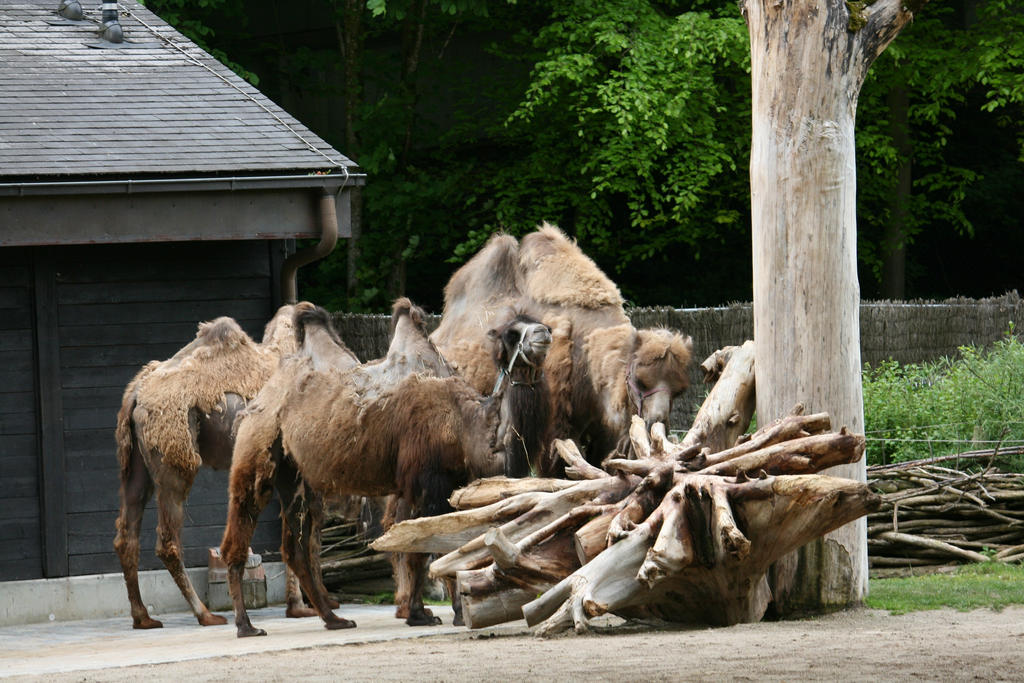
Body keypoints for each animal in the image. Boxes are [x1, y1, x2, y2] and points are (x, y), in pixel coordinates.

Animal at [111, 301, 358, 634]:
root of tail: (136, 392)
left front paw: (303, 606)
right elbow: (310, 532)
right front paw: (310, 606)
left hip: (135, 462)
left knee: (127, 532)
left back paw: (143, 617)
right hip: (176, 457)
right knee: (168, 538)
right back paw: (205, 614)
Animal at [219, 305, 548, 634]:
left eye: (539, 323)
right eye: (511, 334)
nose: (544, 334)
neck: (465, 424)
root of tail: (261, 397)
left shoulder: (443, 484)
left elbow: (431, 544)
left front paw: (433, 611)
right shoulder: (426, 481)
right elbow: (425, 547)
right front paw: (431, 614)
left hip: (297, 478)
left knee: (296, 549)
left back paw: (334, 619)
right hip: (255, 450)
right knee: (239, 533)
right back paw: (246, 625)